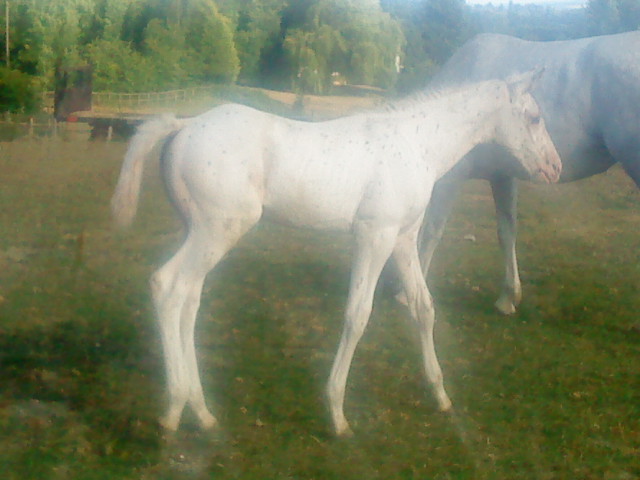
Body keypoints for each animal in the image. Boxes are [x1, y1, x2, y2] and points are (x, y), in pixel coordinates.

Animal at [111, 71, 561, 437]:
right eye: (534, 117)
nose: (555, 168)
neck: (416, 144)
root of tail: (185, 125)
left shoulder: (403, 238)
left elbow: (423, 307)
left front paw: (440, 394)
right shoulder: (374, 236)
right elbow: (357, 315)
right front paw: (337, 413)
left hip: (202, 232)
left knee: (190, 299)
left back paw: (201, 412)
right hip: (219, 230)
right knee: (167, 285)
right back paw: (173, 408)